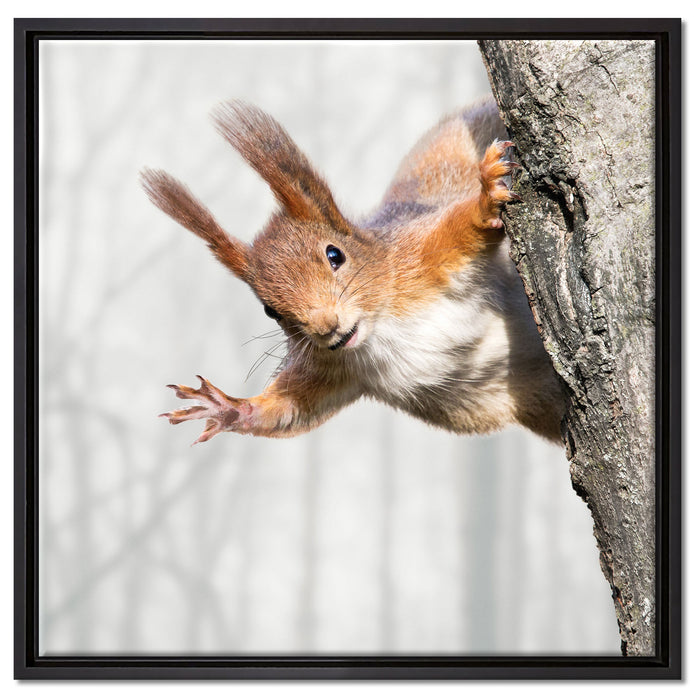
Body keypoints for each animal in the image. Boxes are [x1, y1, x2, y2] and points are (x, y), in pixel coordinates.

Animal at [141, 97, 565, 445]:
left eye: (335, 255)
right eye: (269, 310)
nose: (326, 328)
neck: (381, 328)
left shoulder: (419, 257)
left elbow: (460, 229)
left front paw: (485, 198)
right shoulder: (333, 368)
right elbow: (291, 410)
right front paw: (228, 407)